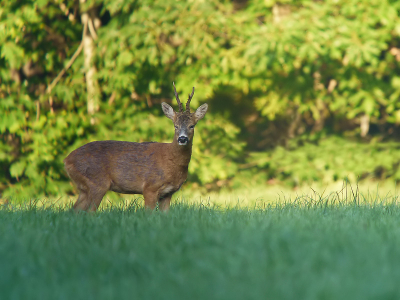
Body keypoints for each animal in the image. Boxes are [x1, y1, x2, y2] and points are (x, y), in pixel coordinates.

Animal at [64, 82, 208, 212]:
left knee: (76, 210)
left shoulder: (168, 193)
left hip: (85, 187)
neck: (172, 163)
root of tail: (67, 160)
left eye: (192, 125)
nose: (182, 139)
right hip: (97, 182)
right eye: (175, 126)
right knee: (89, 212)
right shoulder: (150, 187)